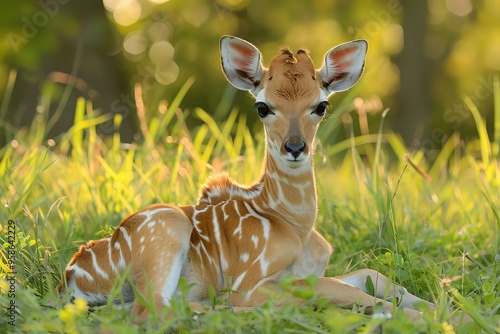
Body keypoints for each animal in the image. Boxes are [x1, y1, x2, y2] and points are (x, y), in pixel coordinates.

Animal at [58, 35, 434, 322]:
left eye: (321, 105)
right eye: (263, 107)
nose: (294, 147)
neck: (294, 226)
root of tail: (72, 278)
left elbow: (370, 275)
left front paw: (438, 308)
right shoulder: (250, 277)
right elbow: (328, 288)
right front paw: (415, 316)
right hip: (165, 228)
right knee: (154, 311)